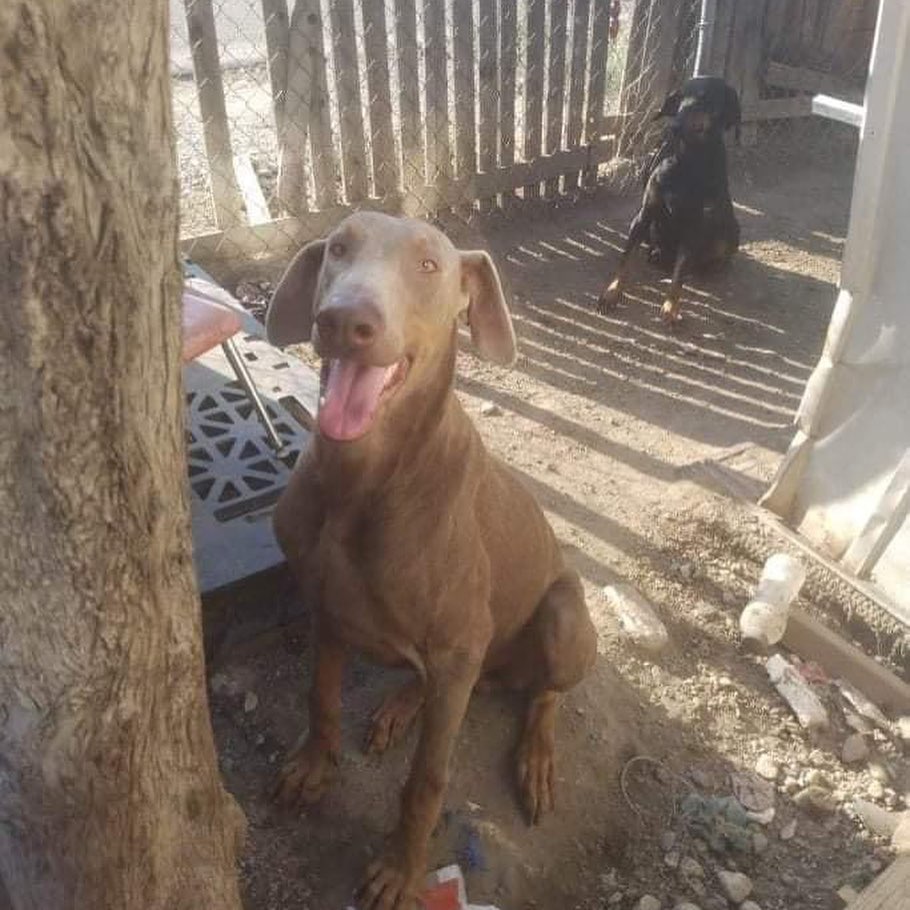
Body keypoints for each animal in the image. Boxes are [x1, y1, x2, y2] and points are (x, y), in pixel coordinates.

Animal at [268, 216, 604, 910]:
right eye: (338, 246)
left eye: (428, 266)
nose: (344, 320)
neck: (361, 483)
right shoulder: (326, 610)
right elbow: (320, 698)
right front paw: (313, 766)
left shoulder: (458, 646)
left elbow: (426, 780)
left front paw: (401, 869)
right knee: (430, 679)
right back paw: (402, 704)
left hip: (558, 617)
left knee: (545, 696)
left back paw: (535, 757)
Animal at [604, 75, 744, 324]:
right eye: (679, 98)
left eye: (705, 98)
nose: (674, 126)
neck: (688, 159)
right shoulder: (644, 214)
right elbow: (625, 259)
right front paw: (612, 292)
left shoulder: (695, 225)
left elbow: (679, 275)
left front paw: (671, 307)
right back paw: (657, 255)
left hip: (730, 228)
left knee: (713, 256)